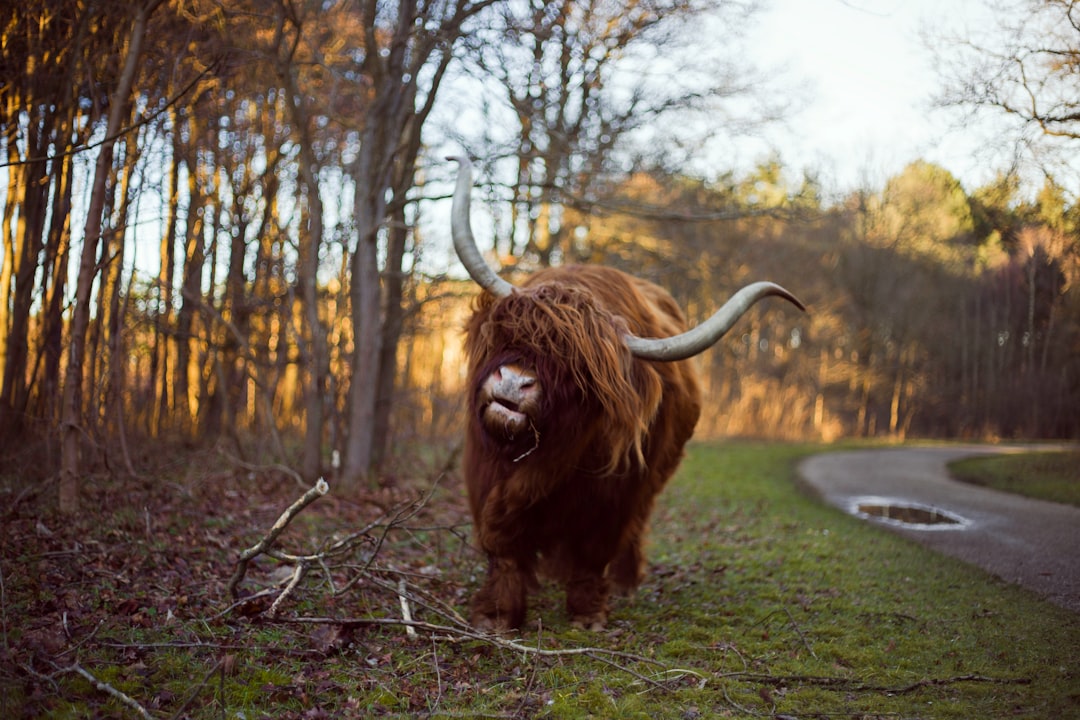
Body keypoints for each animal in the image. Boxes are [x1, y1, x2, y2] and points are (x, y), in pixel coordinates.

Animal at [447, 157, 803, 630]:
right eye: (509, 334)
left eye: (576, 369)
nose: (512, 381)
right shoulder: (483, 476)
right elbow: (502, 545)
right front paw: (497, 615)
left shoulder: (615, 497)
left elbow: (594, 552)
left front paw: (587, 616)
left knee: (635, 531)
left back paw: (626, 582)